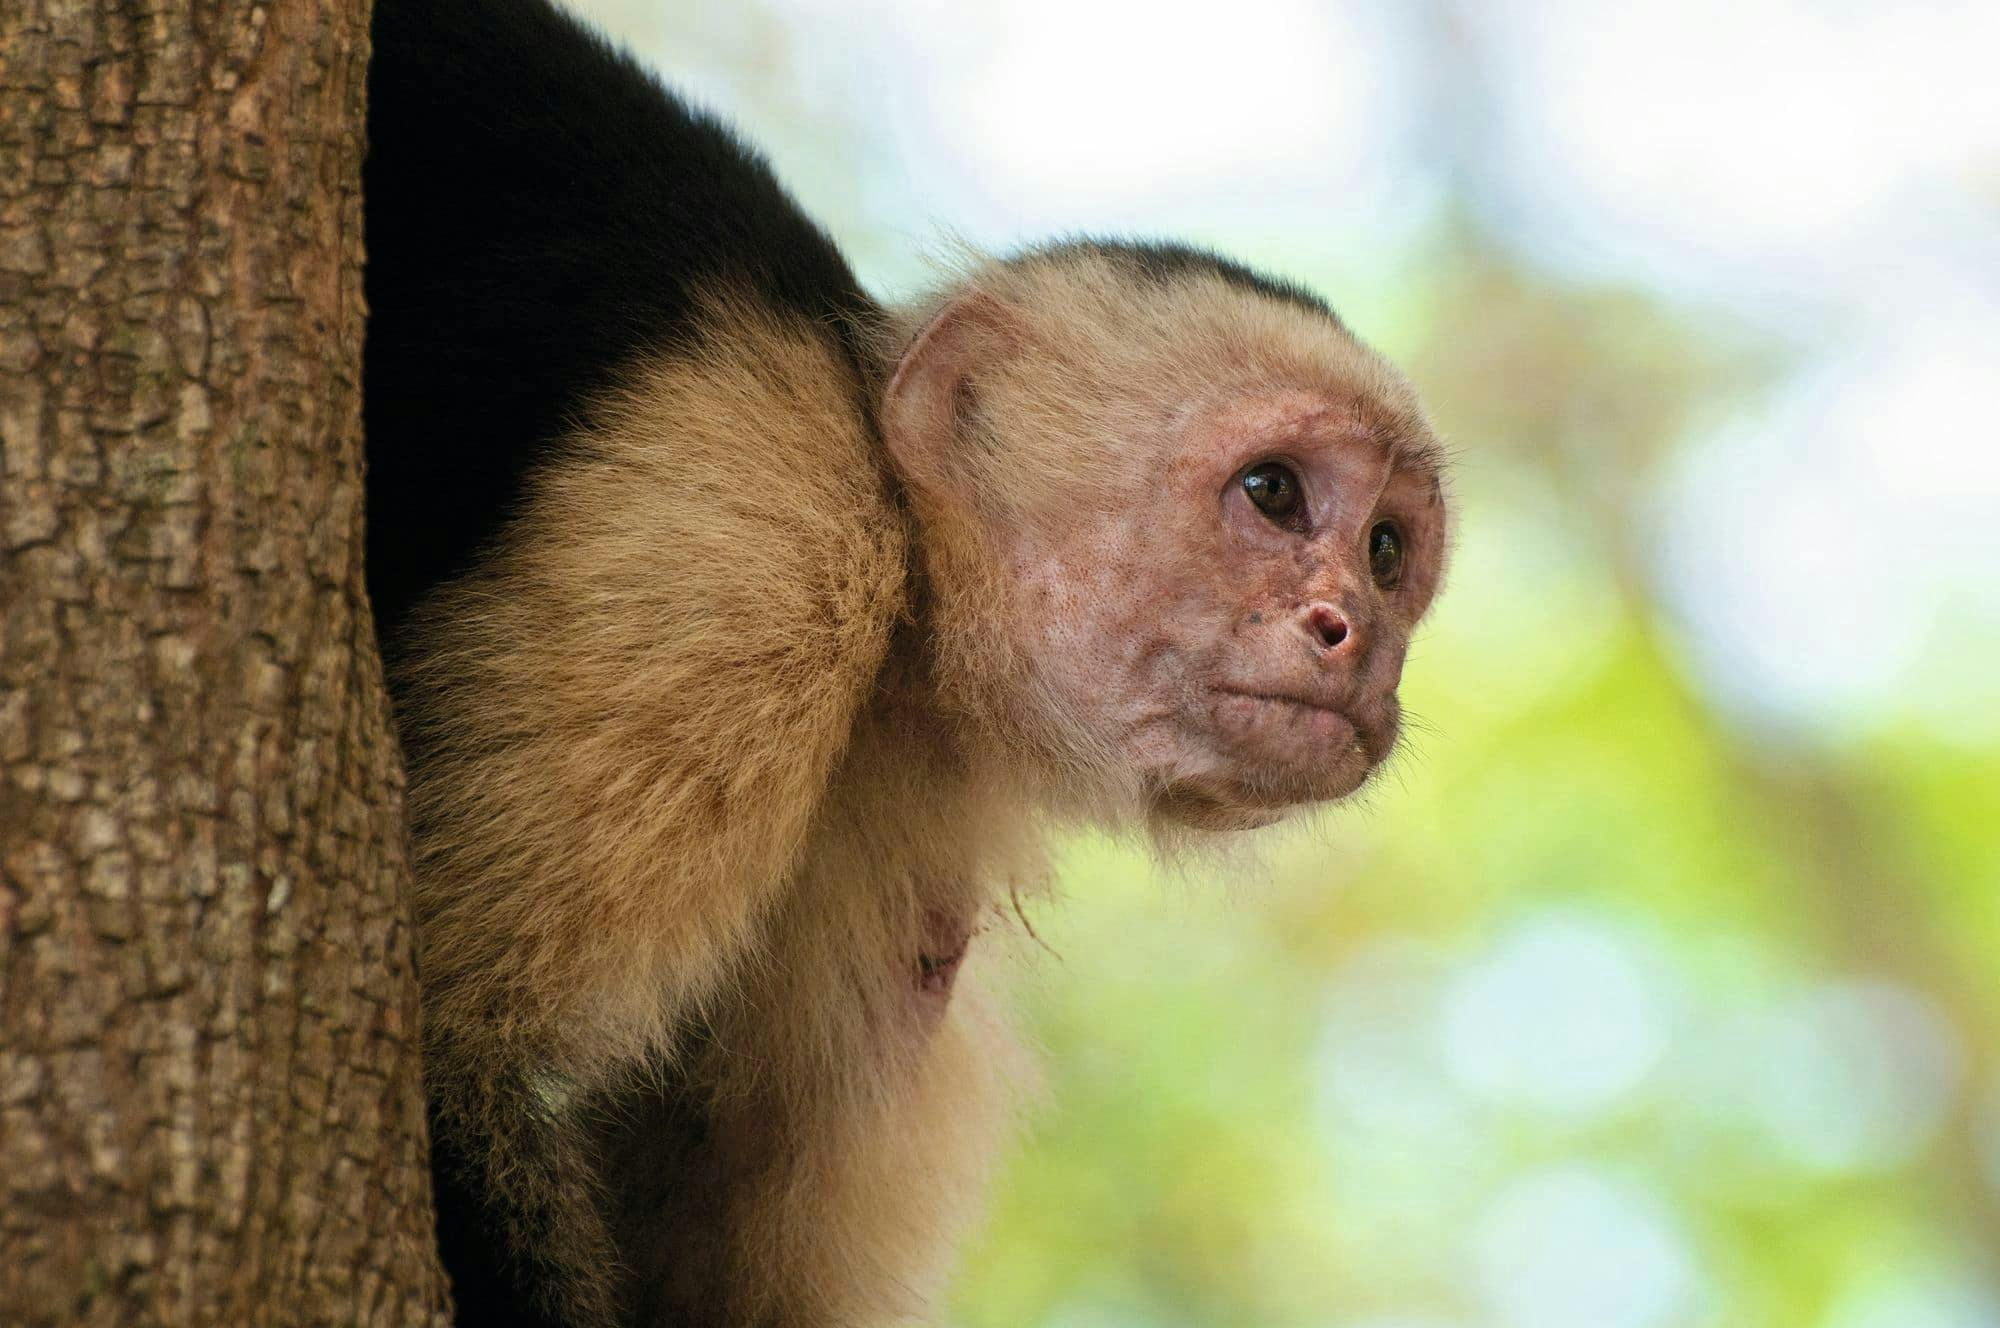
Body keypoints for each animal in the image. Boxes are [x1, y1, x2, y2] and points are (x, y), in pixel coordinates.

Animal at [364, 0, 1456, 1320]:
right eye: (1273, 493)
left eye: (1386, 550)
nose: (1351, 633)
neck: (908, 623)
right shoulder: (745, 531)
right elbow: (459, 1063)